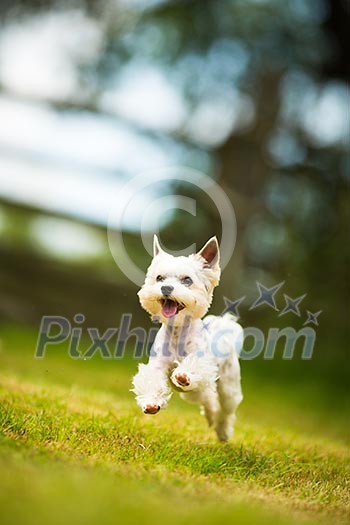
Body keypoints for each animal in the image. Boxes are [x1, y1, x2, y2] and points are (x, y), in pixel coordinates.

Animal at [131, 235, 243, 440]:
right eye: (159, 278)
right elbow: (152, 380)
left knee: (225, 408)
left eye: (187, 280)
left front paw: (183, 374)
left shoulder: (201, 361)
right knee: (206, 398)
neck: (177, 331)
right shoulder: (158, 365)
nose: (166, 288)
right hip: (193, 393)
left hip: (228, 387)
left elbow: (193, 366)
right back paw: (211, 415)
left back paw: (223, 430)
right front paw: (151, 402)